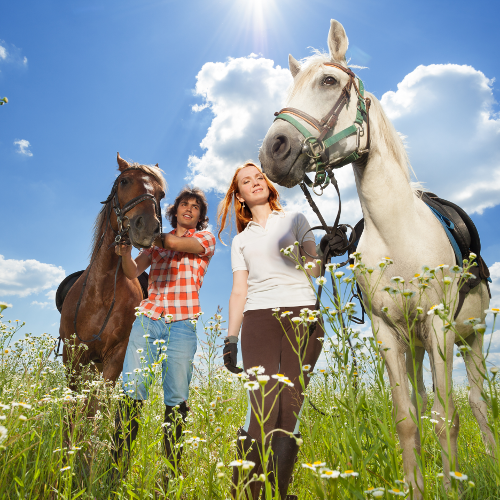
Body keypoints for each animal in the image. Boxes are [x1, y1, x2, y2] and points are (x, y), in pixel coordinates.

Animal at [58, 153, 167, 386]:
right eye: (124, 181)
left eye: (161, 194)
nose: (147, 227)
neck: (101, 293)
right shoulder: (73, 356)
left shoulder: (117, 355)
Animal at [260, 18, 494, 496]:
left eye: (328, 81)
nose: (274, 149)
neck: (397, 233)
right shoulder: (389, 333)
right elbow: (408, 420)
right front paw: (419, 488)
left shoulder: (440, 328)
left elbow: (448, 418)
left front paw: (452, 486)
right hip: (417, 346)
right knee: (429, 400)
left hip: (471, 339)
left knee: (479, 404)